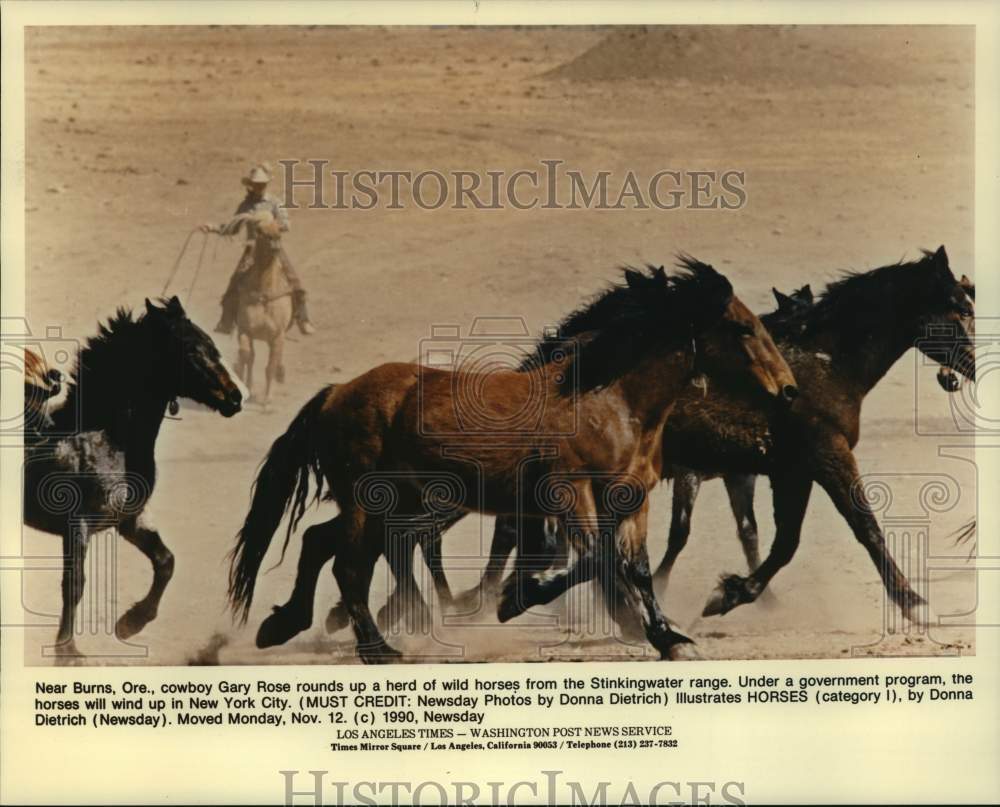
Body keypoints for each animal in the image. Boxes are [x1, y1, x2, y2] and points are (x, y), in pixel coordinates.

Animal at [227, 258, 796, 664]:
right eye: (744, 329)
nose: (788, 389)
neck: (610, 398)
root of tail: (337, 393)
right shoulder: (572, 494)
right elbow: (595, 558)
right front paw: (515, 597)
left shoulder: (632, 498)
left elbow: (634, 566)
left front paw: (669, 638)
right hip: (372, 502)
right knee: (348, 564)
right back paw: (379, 650)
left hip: (389, 503)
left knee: (320, 543)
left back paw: (283, 625)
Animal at [234, 215, 292, 408]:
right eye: (259, 229)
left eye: (280, 228)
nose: (275, 240)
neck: (263, 294)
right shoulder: (245, 330)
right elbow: (247, 355)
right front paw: (245, 384)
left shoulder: (277, 336)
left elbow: (270, 367)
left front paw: (267, 400)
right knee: (250, 357)